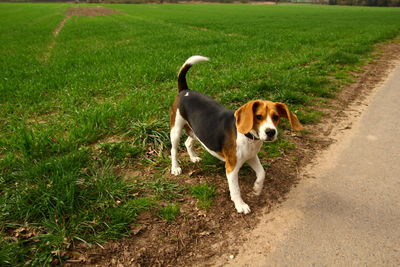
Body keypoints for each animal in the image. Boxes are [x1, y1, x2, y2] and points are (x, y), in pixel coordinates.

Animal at [170, 55, 304, 215]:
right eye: (258, 116)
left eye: (276, 117)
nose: (271, 132)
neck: (249, 138)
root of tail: (185, 90)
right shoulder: (231, 168)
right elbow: (236, 189)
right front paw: (240, 205)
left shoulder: (251, 157)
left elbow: (262, 173)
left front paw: (257, 188)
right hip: (176, 129)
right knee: (174, 150)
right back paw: (175, 168)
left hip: (197, 131)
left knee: (188, 142)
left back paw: (193, 157)